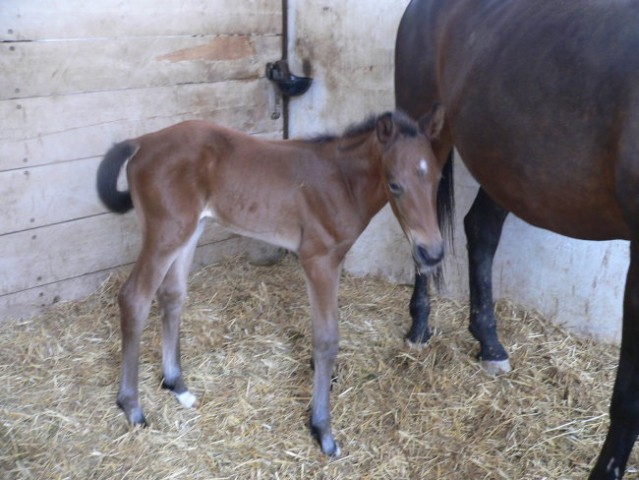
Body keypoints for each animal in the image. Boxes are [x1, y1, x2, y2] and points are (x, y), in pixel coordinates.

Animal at [97, 109, 448, 458]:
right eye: (394, 183)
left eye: (438, 179)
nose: (431, 253)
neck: (341, 182)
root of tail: (142, 142)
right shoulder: (319, 260)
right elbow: (326, 341)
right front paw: (322, 430)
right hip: (166, 232)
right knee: (134, 298)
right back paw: (132, 407)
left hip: (190, 230)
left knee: (171, 295)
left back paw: (177, 386)